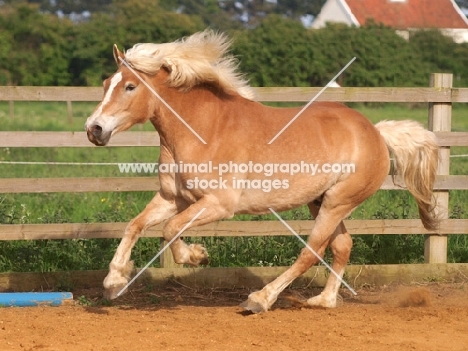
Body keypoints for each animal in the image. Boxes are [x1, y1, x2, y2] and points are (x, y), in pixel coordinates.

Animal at [84, 28, 438, 312]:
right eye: (106, 83)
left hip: (338, 202)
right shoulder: (173, 198)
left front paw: (197, 256)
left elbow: (170, 230)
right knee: (341, 247)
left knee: (311, 252)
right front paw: (114, 282)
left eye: (130, 87)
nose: (94, 129)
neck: (204, 129)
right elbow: (135, 226)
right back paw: (323, 301)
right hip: (321, 201)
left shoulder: (218, 204)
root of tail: (376, 132)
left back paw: (260, 299)